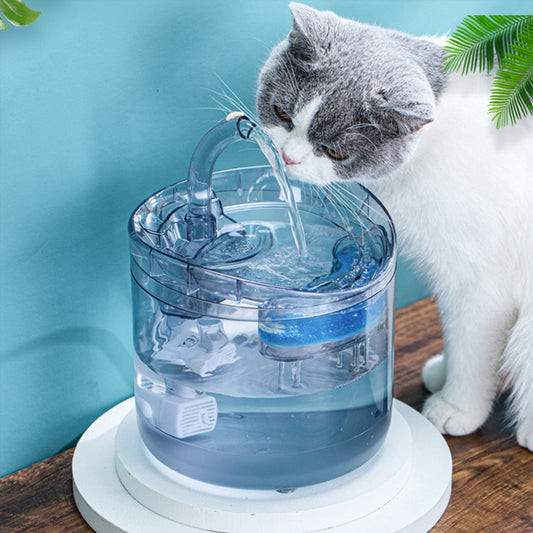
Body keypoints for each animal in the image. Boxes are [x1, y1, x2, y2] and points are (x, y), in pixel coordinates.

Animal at [256, 2, 528, 448]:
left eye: (334, 151)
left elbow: (472, 348)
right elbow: (455, 334)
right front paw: (443, 372)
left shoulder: (481, 284)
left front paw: (457, 406)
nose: (288, 157)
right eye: (282, 113)